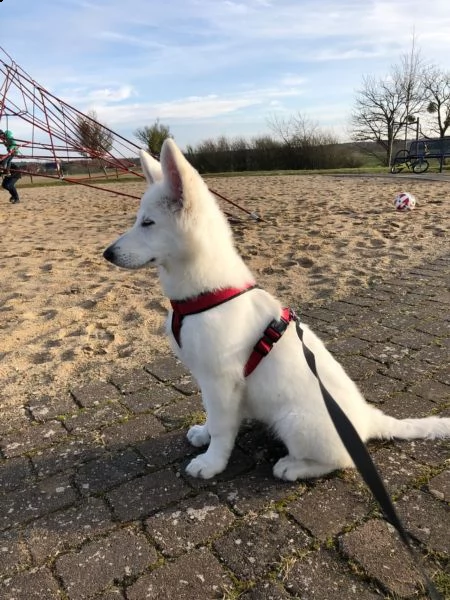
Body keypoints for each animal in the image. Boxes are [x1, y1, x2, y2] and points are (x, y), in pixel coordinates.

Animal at [103, 138, 450, 480]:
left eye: (148, 223)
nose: (107, 254)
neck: (207, 293)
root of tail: (368, 419)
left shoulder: (221, 381)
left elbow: (222, 428)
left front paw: (212, 462)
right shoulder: (209, 382)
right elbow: (213, 418)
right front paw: (203, 433)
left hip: (293, 421)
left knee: (342, 461)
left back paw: (293, 467)